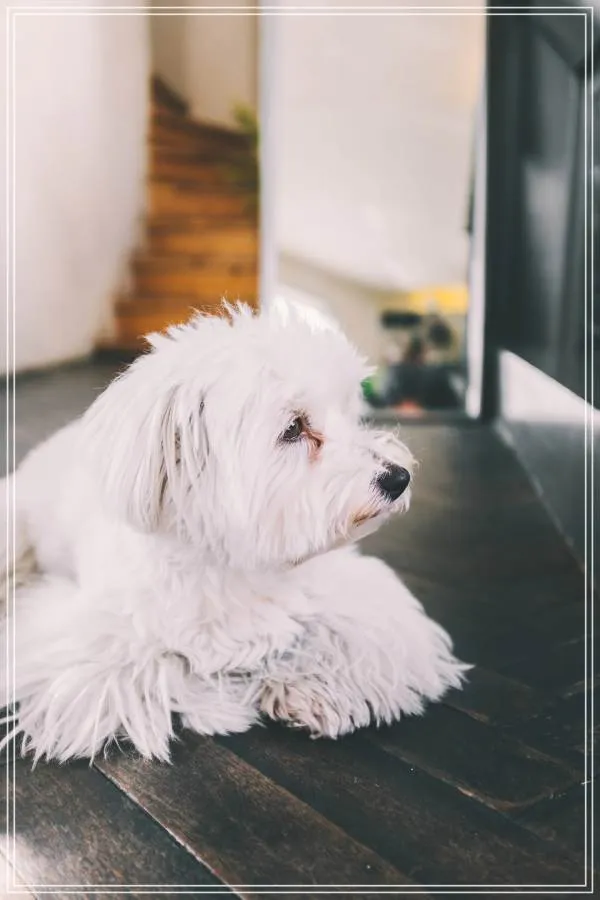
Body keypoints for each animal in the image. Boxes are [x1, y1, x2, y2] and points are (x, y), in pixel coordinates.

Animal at [0, 302, 468, 763]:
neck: (237, 564)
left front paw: (311, 687)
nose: (399, 477)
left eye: (349, 413)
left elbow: (351, 635)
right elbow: (159, 666)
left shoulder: (358, 598)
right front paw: (224, 705)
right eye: (293, 428)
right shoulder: (88, 645)